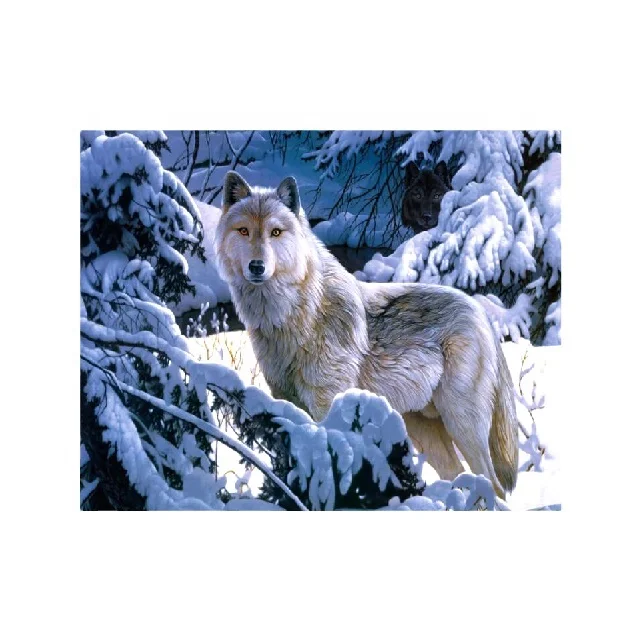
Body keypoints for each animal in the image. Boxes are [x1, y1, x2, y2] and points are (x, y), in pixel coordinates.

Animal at [214, 171, 519, 499]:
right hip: (424, 429)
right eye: (244, 231)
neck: (294, 318)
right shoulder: (287, 403)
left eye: (276, 232)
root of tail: (481, 312)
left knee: (495, 487)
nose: (257, 266)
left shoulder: (327, 406)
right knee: (460, 476)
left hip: (461, 424)